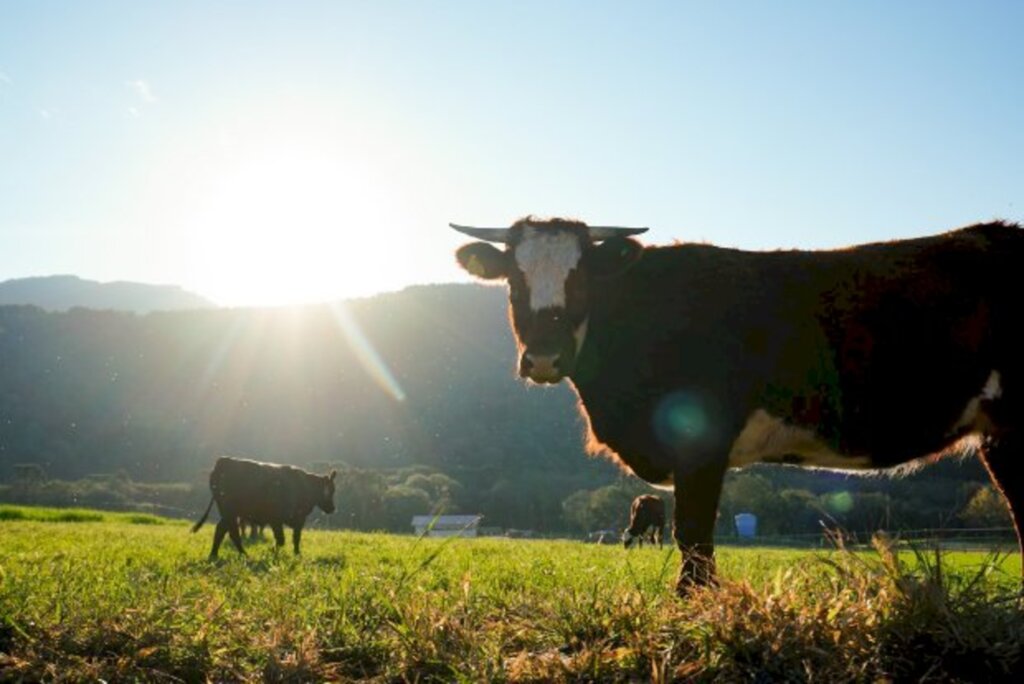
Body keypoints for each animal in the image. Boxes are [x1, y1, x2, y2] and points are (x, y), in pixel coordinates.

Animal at [192, 456, 335, 557]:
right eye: (331, 491)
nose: (333, 508)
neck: (304, 486)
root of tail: (224, 460)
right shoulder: (277, 519)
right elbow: (282, 539)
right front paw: (273, 551)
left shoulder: (297, 520)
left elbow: (295, 538)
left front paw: (296, 554)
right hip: (230, 511)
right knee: (231, 531)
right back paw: (242, 554)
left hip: (230, 513)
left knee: (222, 529)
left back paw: (216, 554)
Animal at [454, 218, 1024, 593]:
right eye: (514, 281)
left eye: (581, 281)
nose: (544, 357)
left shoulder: (701, 445)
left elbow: (694, 533)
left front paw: (695, 604)